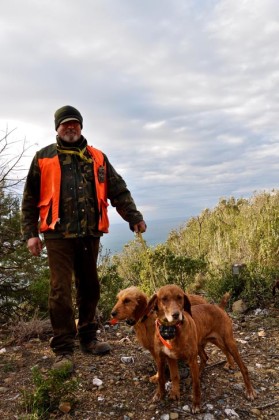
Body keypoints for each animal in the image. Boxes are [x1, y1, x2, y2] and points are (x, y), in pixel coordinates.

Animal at [147, 284, 258, 412]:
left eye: (180, 297)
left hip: (229, 342)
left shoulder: (191, 359)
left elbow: (196, 384)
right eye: (164, 299)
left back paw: (250, 391)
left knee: (243, 367)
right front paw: (164, 394)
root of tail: (219, 307)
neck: (171, 330)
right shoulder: (163, 358)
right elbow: (167, 377)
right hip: (208, 342)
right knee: (208, 356)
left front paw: (196, 404)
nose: (176, 315)